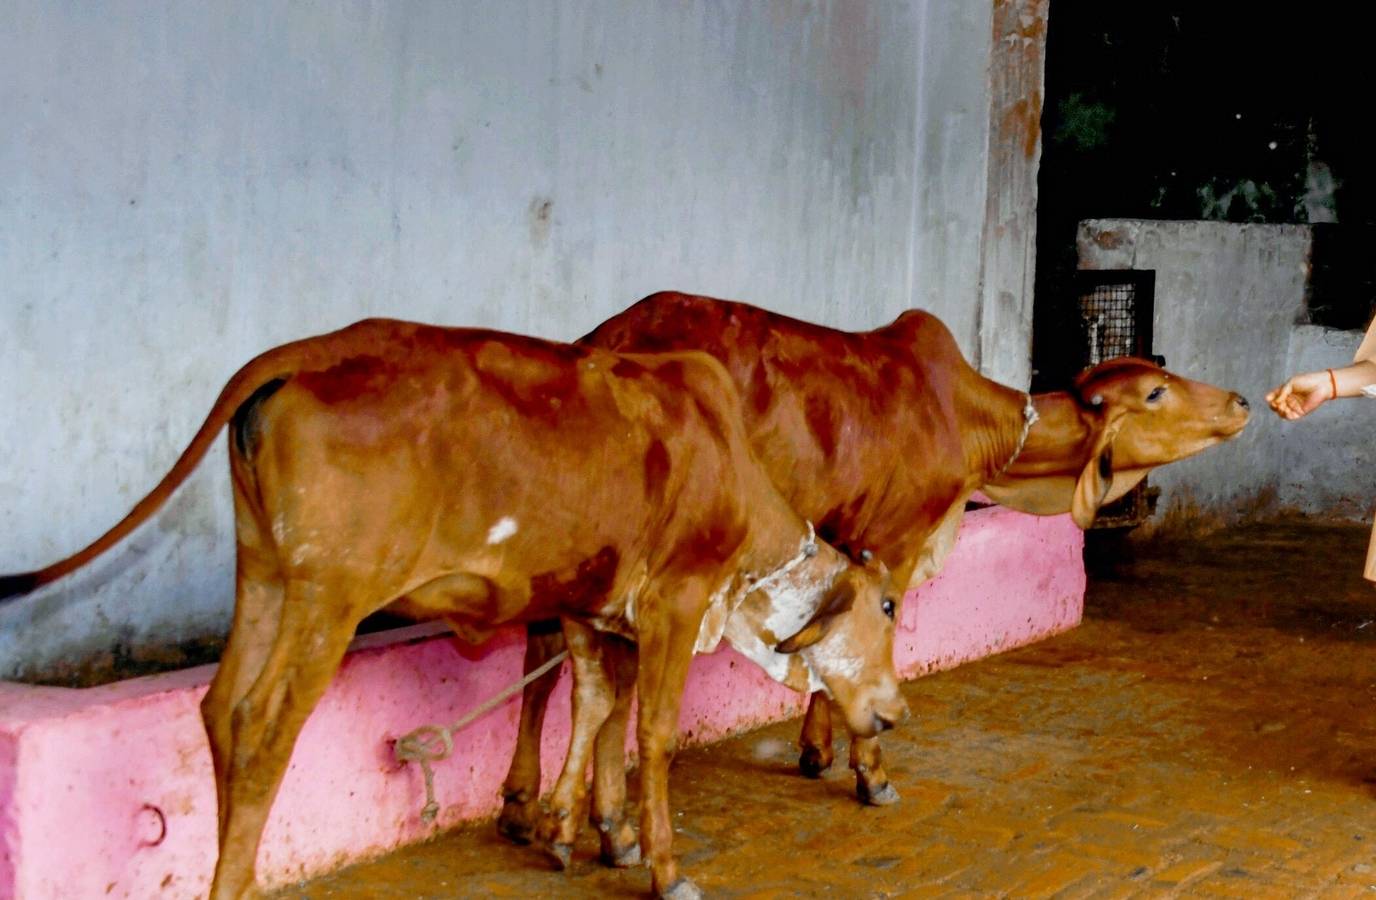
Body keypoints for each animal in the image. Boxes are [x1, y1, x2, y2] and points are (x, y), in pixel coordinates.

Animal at [0, 319, 908, 900]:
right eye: (890, 607)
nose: (896, 713)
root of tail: (309, 350)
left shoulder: (590, 602)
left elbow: (593, 703)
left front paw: (576, 831)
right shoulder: (676, 604)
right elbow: (648, 729)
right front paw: (663, 865)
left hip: (262, 575)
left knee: (221, 708)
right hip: (328, 596)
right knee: (262, 727)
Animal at [496, 292, 1252, 844]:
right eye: (1155, 392)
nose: (1243, 401)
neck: (973, 426)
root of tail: (603, 340)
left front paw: (815, 750)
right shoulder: (893, 544)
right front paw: (870, 770)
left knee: (550, 653)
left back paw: (525, 804)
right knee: (606, 672)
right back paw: (597, 819)